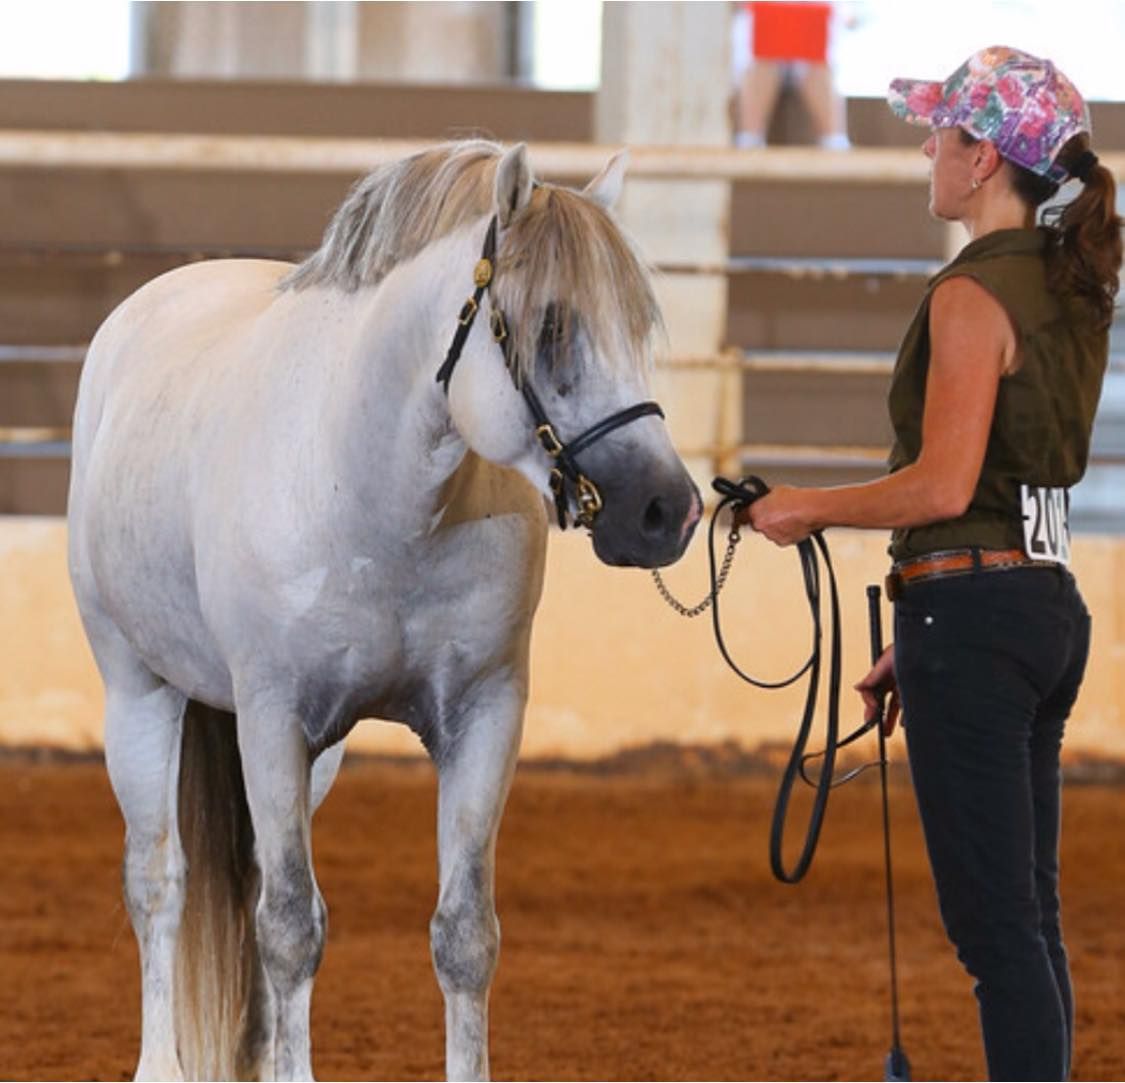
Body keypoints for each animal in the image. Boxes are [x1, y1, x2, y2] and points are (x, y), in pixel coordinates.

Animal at [67, 139, 702, 1081]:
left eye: (637, 325)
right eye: (550, 327)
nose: (666, 510)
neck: (374, 494)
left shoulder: (481, 717)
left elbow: (463, 935)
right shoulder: (272, 719)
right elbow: (291, 930)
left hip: (311, 757)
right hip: (138, 695)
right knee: (158, 883)